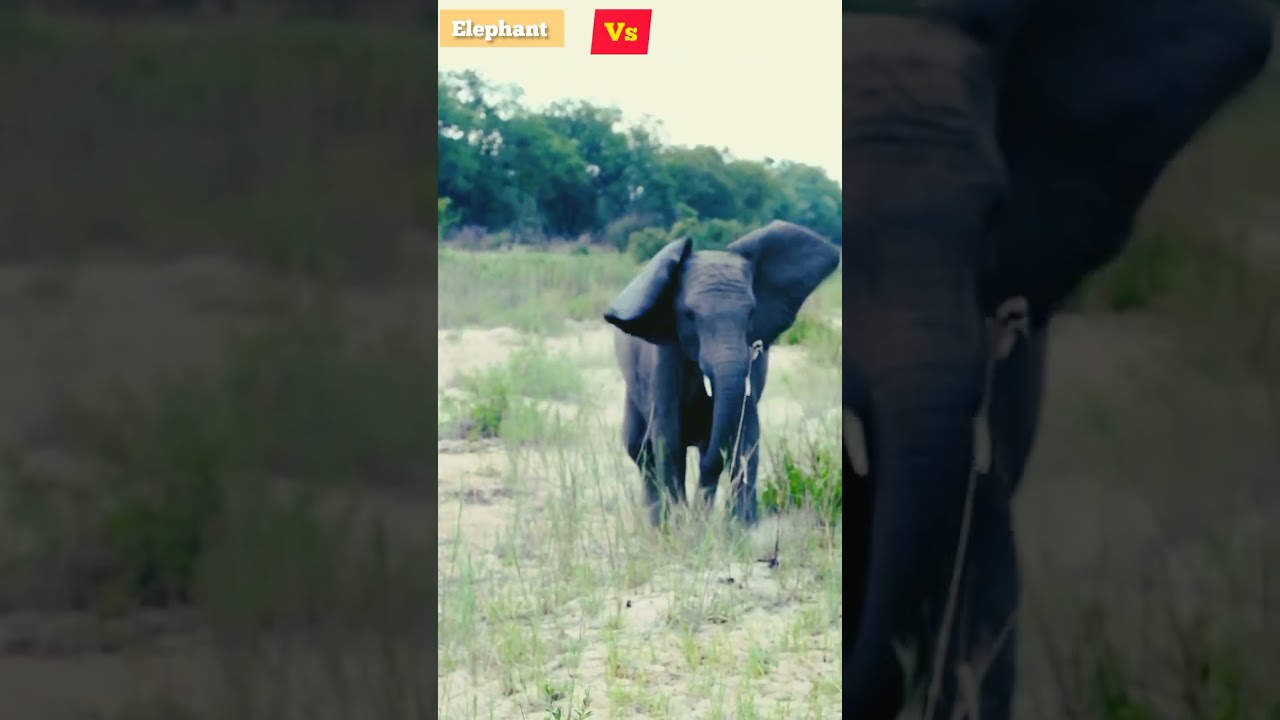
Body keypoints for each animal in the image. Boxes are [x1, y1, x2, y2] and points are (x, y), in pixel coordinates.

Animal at [603, 221, 841, 527]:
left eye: (751, 313)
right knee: (641, 452)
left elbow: (747, 435)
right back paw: (658, 527)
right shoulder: (663, 360)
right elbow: (668, 439)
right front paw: (681, 528)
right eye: (689, 315)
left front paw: (739, 529)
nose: (696, 513)